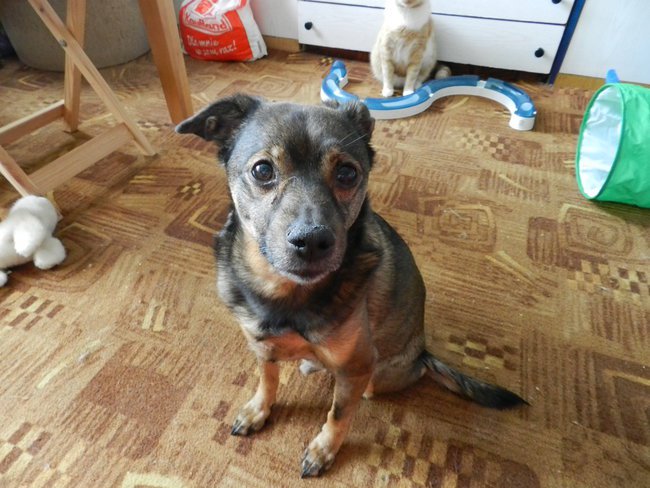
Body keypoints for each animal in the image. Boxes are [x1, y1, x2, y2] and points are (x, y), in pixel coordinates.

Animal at [175, 95, 526, 477]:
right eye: (262, 170)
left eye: (347, 173)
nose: (312, 241)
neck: (284, 293)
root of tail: (423, 353)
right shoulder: (261, 346)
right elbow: (267, 381)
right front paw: (258, 410)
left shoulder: (357, 367)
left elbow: (339, 414)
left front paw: (323, 450)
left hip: (380, 375)